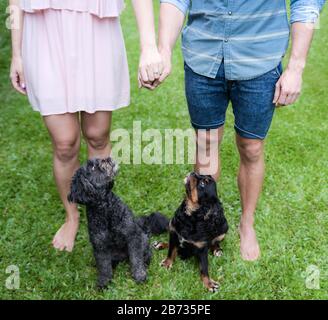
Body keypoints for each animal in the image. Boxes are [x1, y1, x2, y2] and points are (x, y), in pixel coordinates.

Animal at [67, 156, 169, 288]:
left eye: (98, 159)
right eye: (92, 167)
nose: (107, 158)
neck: (106, 209)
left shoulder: (132, 237)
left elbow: (136, 259)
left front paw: (139, 275)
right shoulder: (100, 246)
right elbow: (104, 266)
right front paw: (104, 282)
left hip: (142, 240)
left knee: (144, 255)